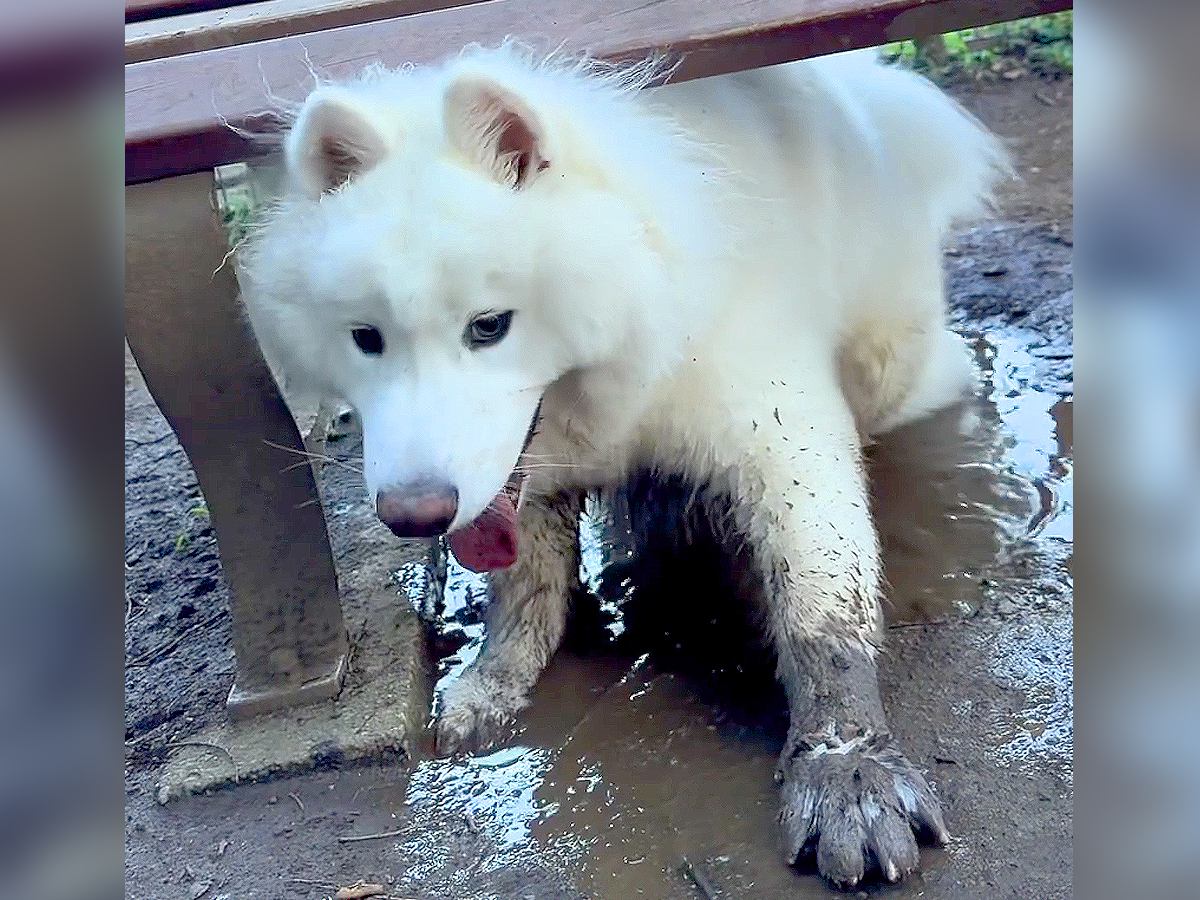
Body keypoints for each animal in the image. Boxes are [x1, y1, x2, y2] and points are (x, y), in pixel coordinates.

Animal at [238, 42, 1008, 888]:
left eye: (490, 326)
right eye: (366, 338)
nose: (414, 516)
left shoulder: (782, 431)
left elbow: (822, 615)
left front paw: (849, 772)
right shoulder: (523, 481)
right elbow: (527, 591)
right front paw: (494, 683)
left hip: (885, 364)